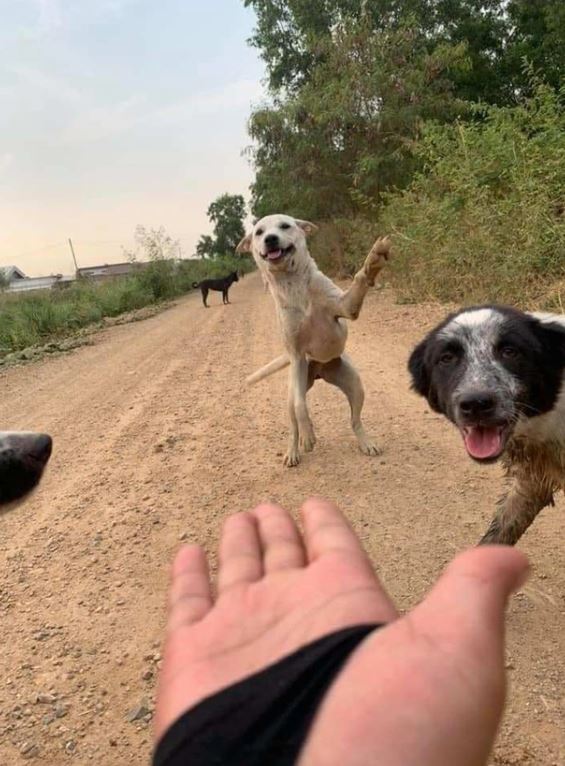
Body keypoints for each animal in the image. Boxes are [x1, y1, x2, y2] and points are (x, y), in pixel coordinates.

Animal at [236, 214, 390, 468]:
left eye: (285, 226)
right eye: (259, 232)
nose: (270, 239)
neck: (293, 284)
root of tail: (319, 372)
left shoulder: (346, 307)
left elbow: (360, 278)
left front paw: (375, 259)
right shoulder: (297, 356)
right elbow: (301, 408)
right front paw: (308, 436)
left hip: (355, 386)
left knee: (355, 420)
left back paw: (366, 443)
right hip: (293, 389)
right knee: (294, 422)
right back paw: (294, 450)